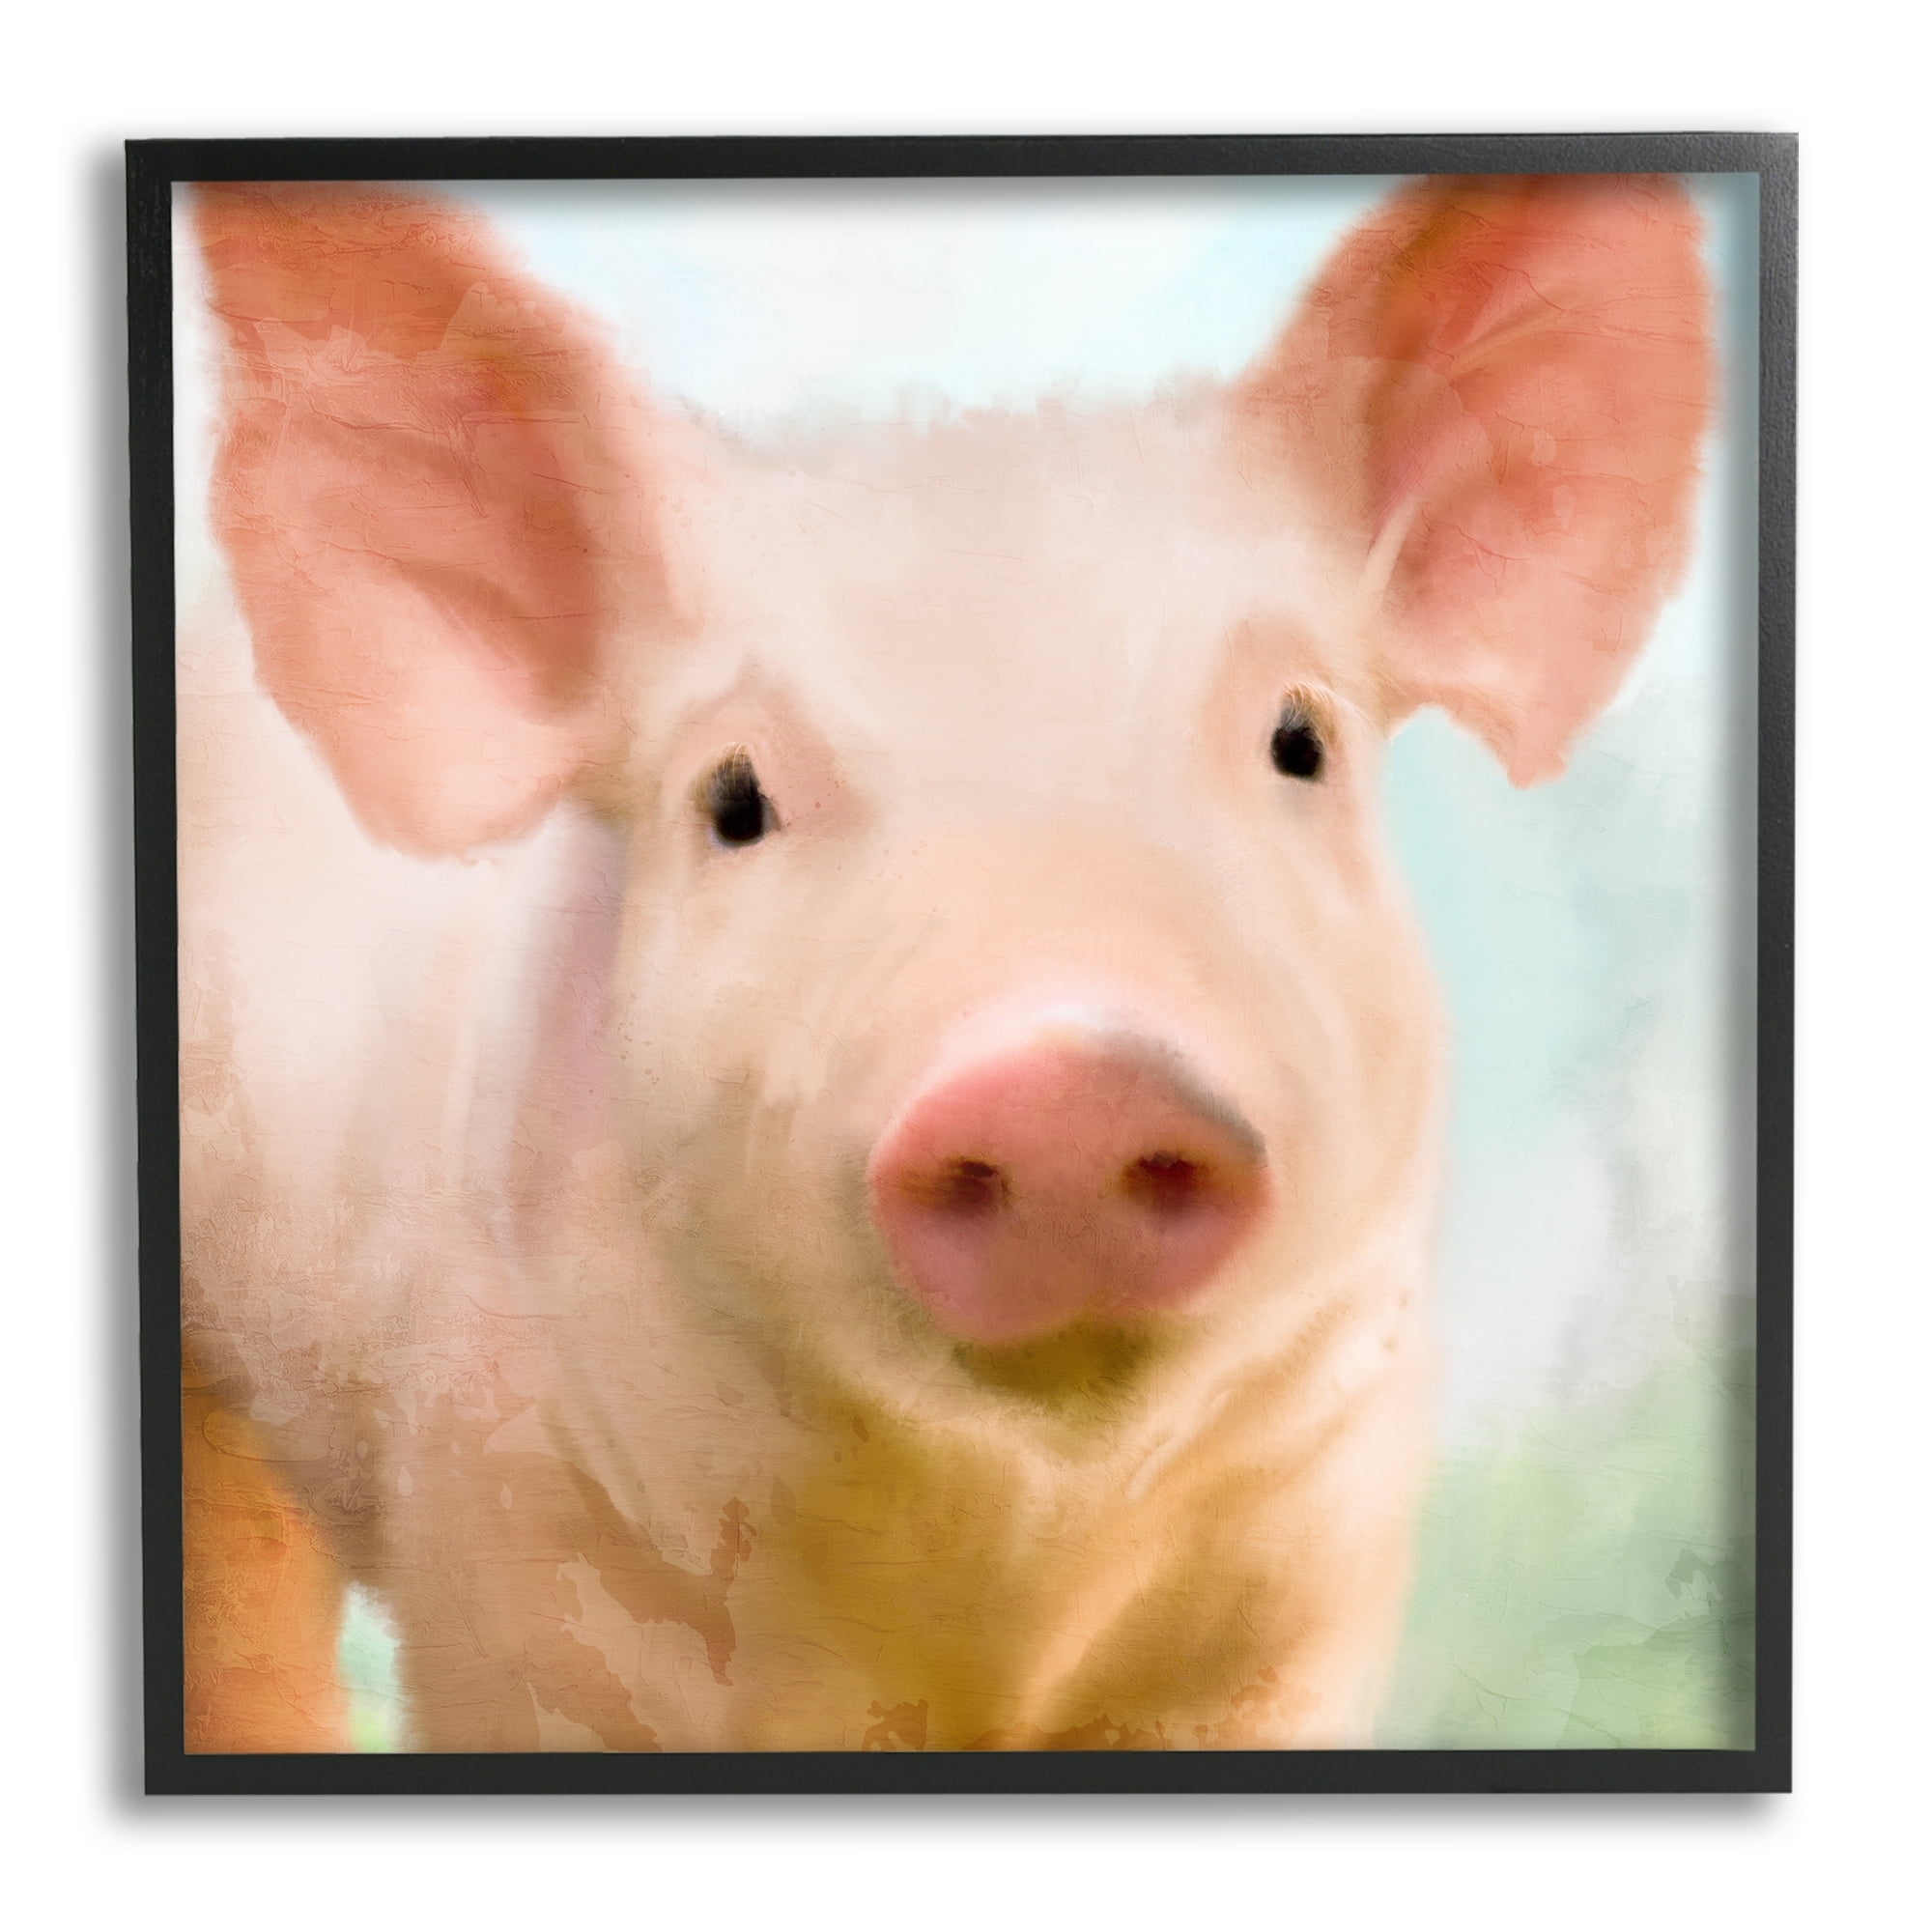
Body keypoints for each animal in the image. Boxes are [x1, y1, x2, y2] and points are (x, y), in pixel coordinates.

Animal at [177, 174, 1711, 1753]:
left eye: (1302, 739)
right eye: (733, 799)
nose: (1068, 1082)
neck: (1002, 1585)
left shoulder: (1301, 1593)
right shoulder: (501, 1548)